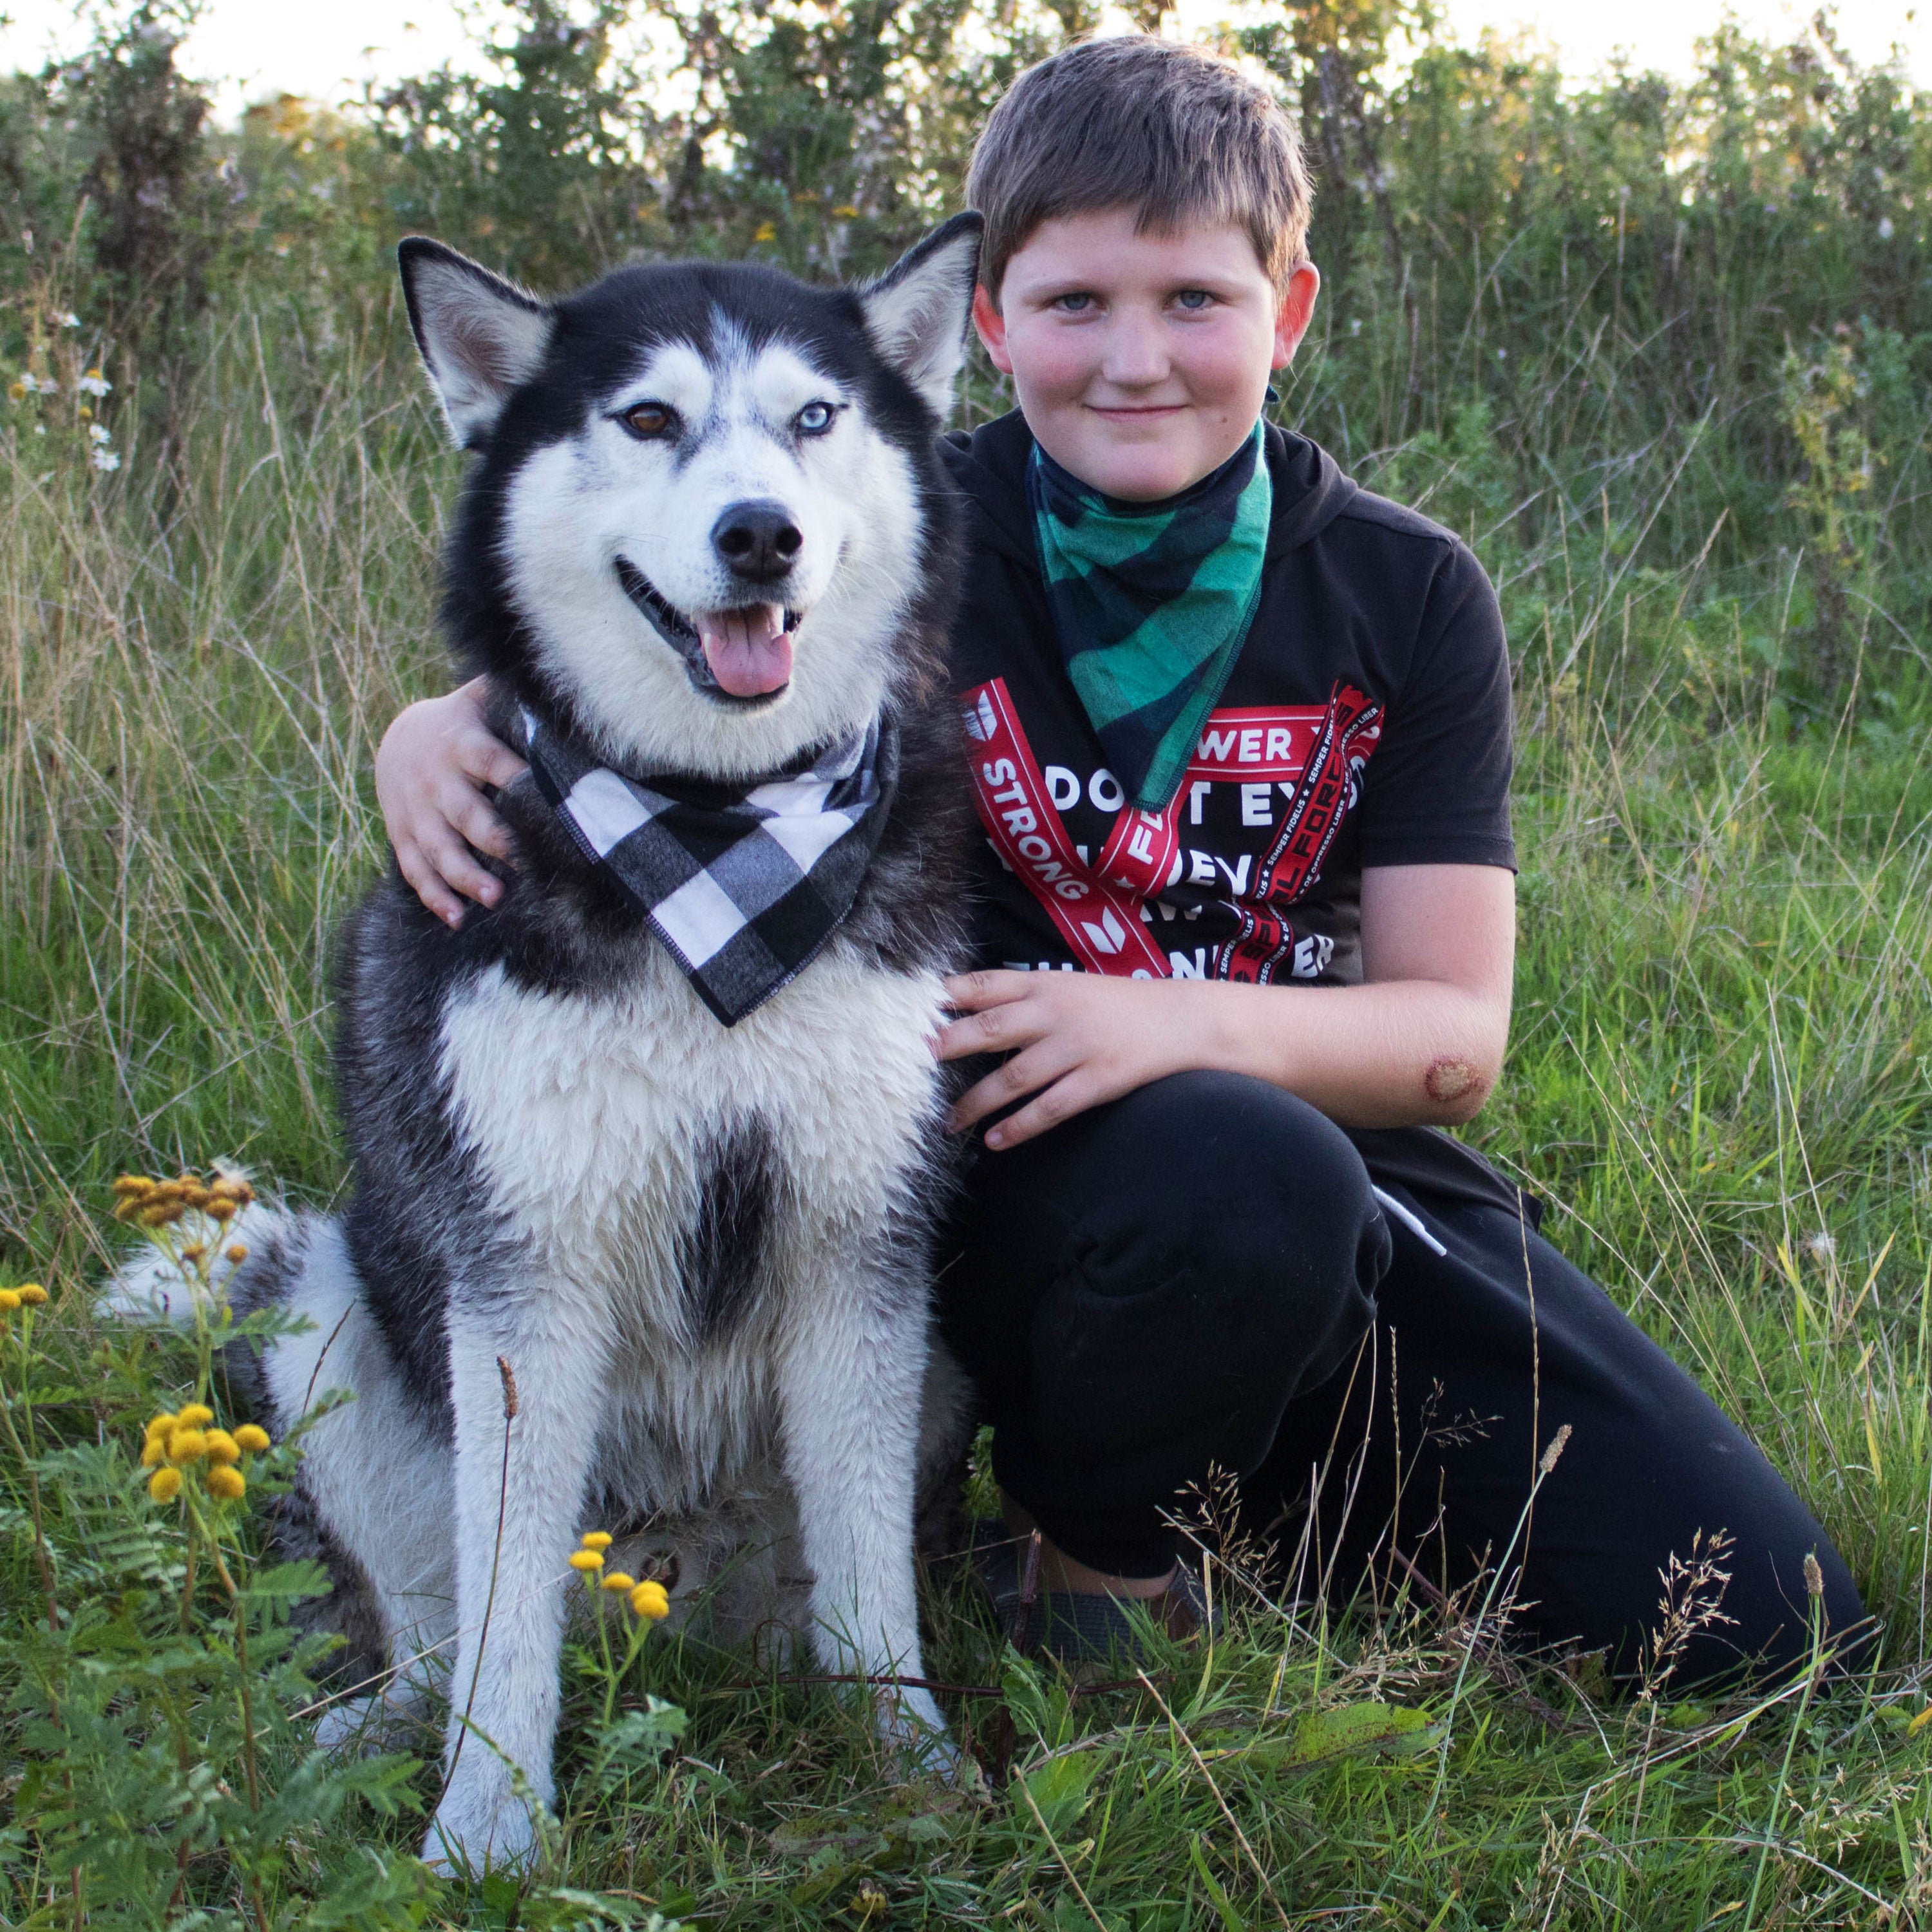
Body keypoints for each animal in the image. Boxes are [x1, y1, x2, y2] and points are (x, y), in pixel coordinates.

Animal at [111, 222, 981, 1870]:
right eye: (646, 418)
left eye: (813, 418)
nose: (761, 536)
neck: (716, 836)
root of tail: (669, 1596)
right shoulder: (529, 1278)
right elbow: (506, 1604)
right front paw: (487, 1831)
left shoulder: (858, 1246)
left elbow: (871, 1584)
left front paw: (912, 1768)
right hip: (327, 1306)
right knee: (437, 1632)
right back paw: (364, 1744)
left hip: (937, 1364)